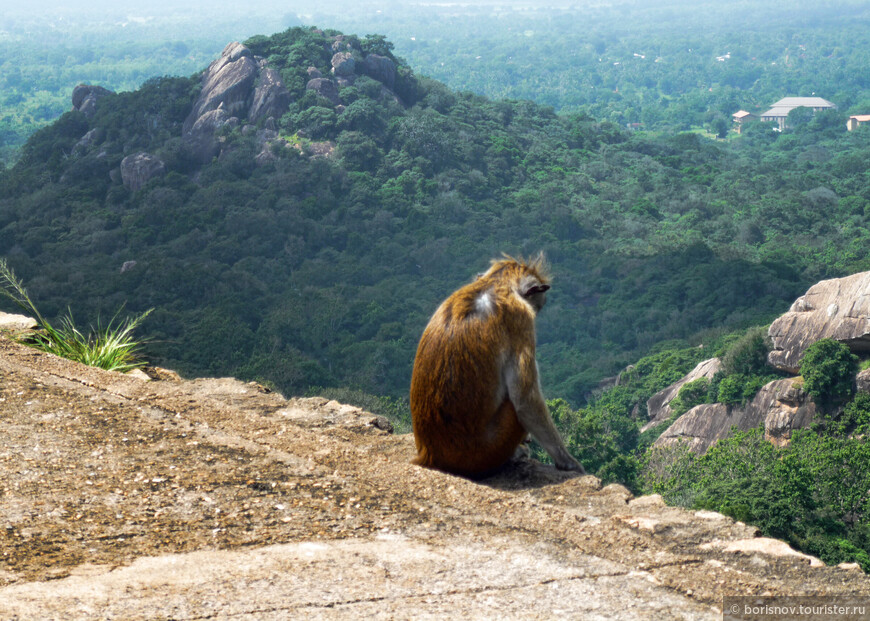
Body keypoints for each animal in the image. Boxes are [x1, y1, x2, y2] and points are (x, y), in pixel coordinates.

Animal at [410, 254, 584, 478]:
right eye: (537, 305)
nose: (537, 309)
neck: (494, 284)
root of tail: (430, 455)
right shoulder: (520, 320)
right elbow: (525, 399)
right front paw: (568, 462)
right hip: (489, 451)